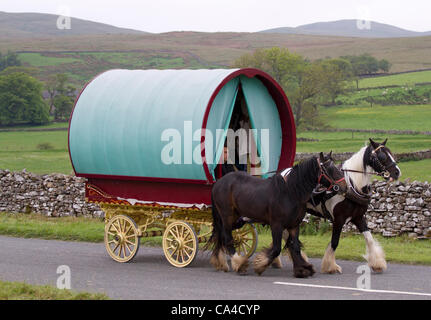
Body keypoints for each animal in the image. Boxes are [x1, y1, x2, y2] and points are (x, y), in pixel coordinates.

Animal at [208, 152, 348, 278]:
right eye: (329, 169)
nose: (345, 186)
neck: (290, 192)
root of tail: (218, 183)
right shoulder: (276, 225)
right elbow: (276, 248)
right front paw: (260, 265)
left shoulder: (293, 226)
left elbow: (295, 247)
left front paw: (302, 269)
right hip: (227, 216)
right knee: (226, 237)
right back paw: (239, 263)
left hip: (236, 220)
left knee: (220, 234)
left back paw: (221, 262)